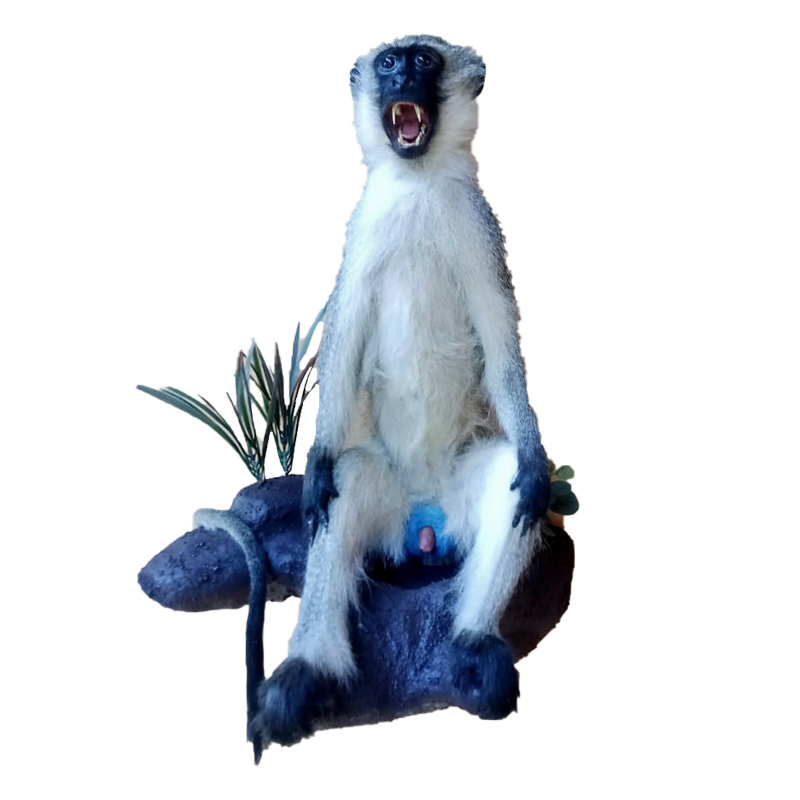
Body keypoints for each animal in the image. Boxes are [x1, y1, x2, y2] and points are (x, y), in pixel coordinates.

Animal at [252, 34, 551, 752]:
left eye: (424, 61)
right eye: (390, 62)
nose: (401, 81)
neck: (416, 186)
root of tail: (424, 523)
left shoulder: (480, 227)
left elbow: (500, 337)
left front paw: (537, 459)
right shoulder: (362, 226)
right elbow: (344, 338)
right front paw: (311, 471)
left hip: (459, 490)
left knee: (510, 485)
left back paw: (474, 643)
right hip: (384, 491)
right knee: (341, 494)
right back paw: (305, 674)